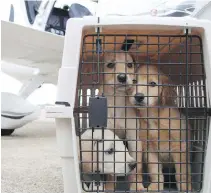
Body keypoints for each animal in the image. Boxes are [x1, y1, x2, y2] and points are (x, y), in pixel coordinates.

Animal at [97, 52, 145, 191]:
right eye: (110, 65)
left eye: (129, 64)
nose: (122, 77)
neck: (116, 100)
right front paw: (109, 187)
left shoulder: (134, 139)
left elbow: (137, 168)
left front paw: (137, 186)